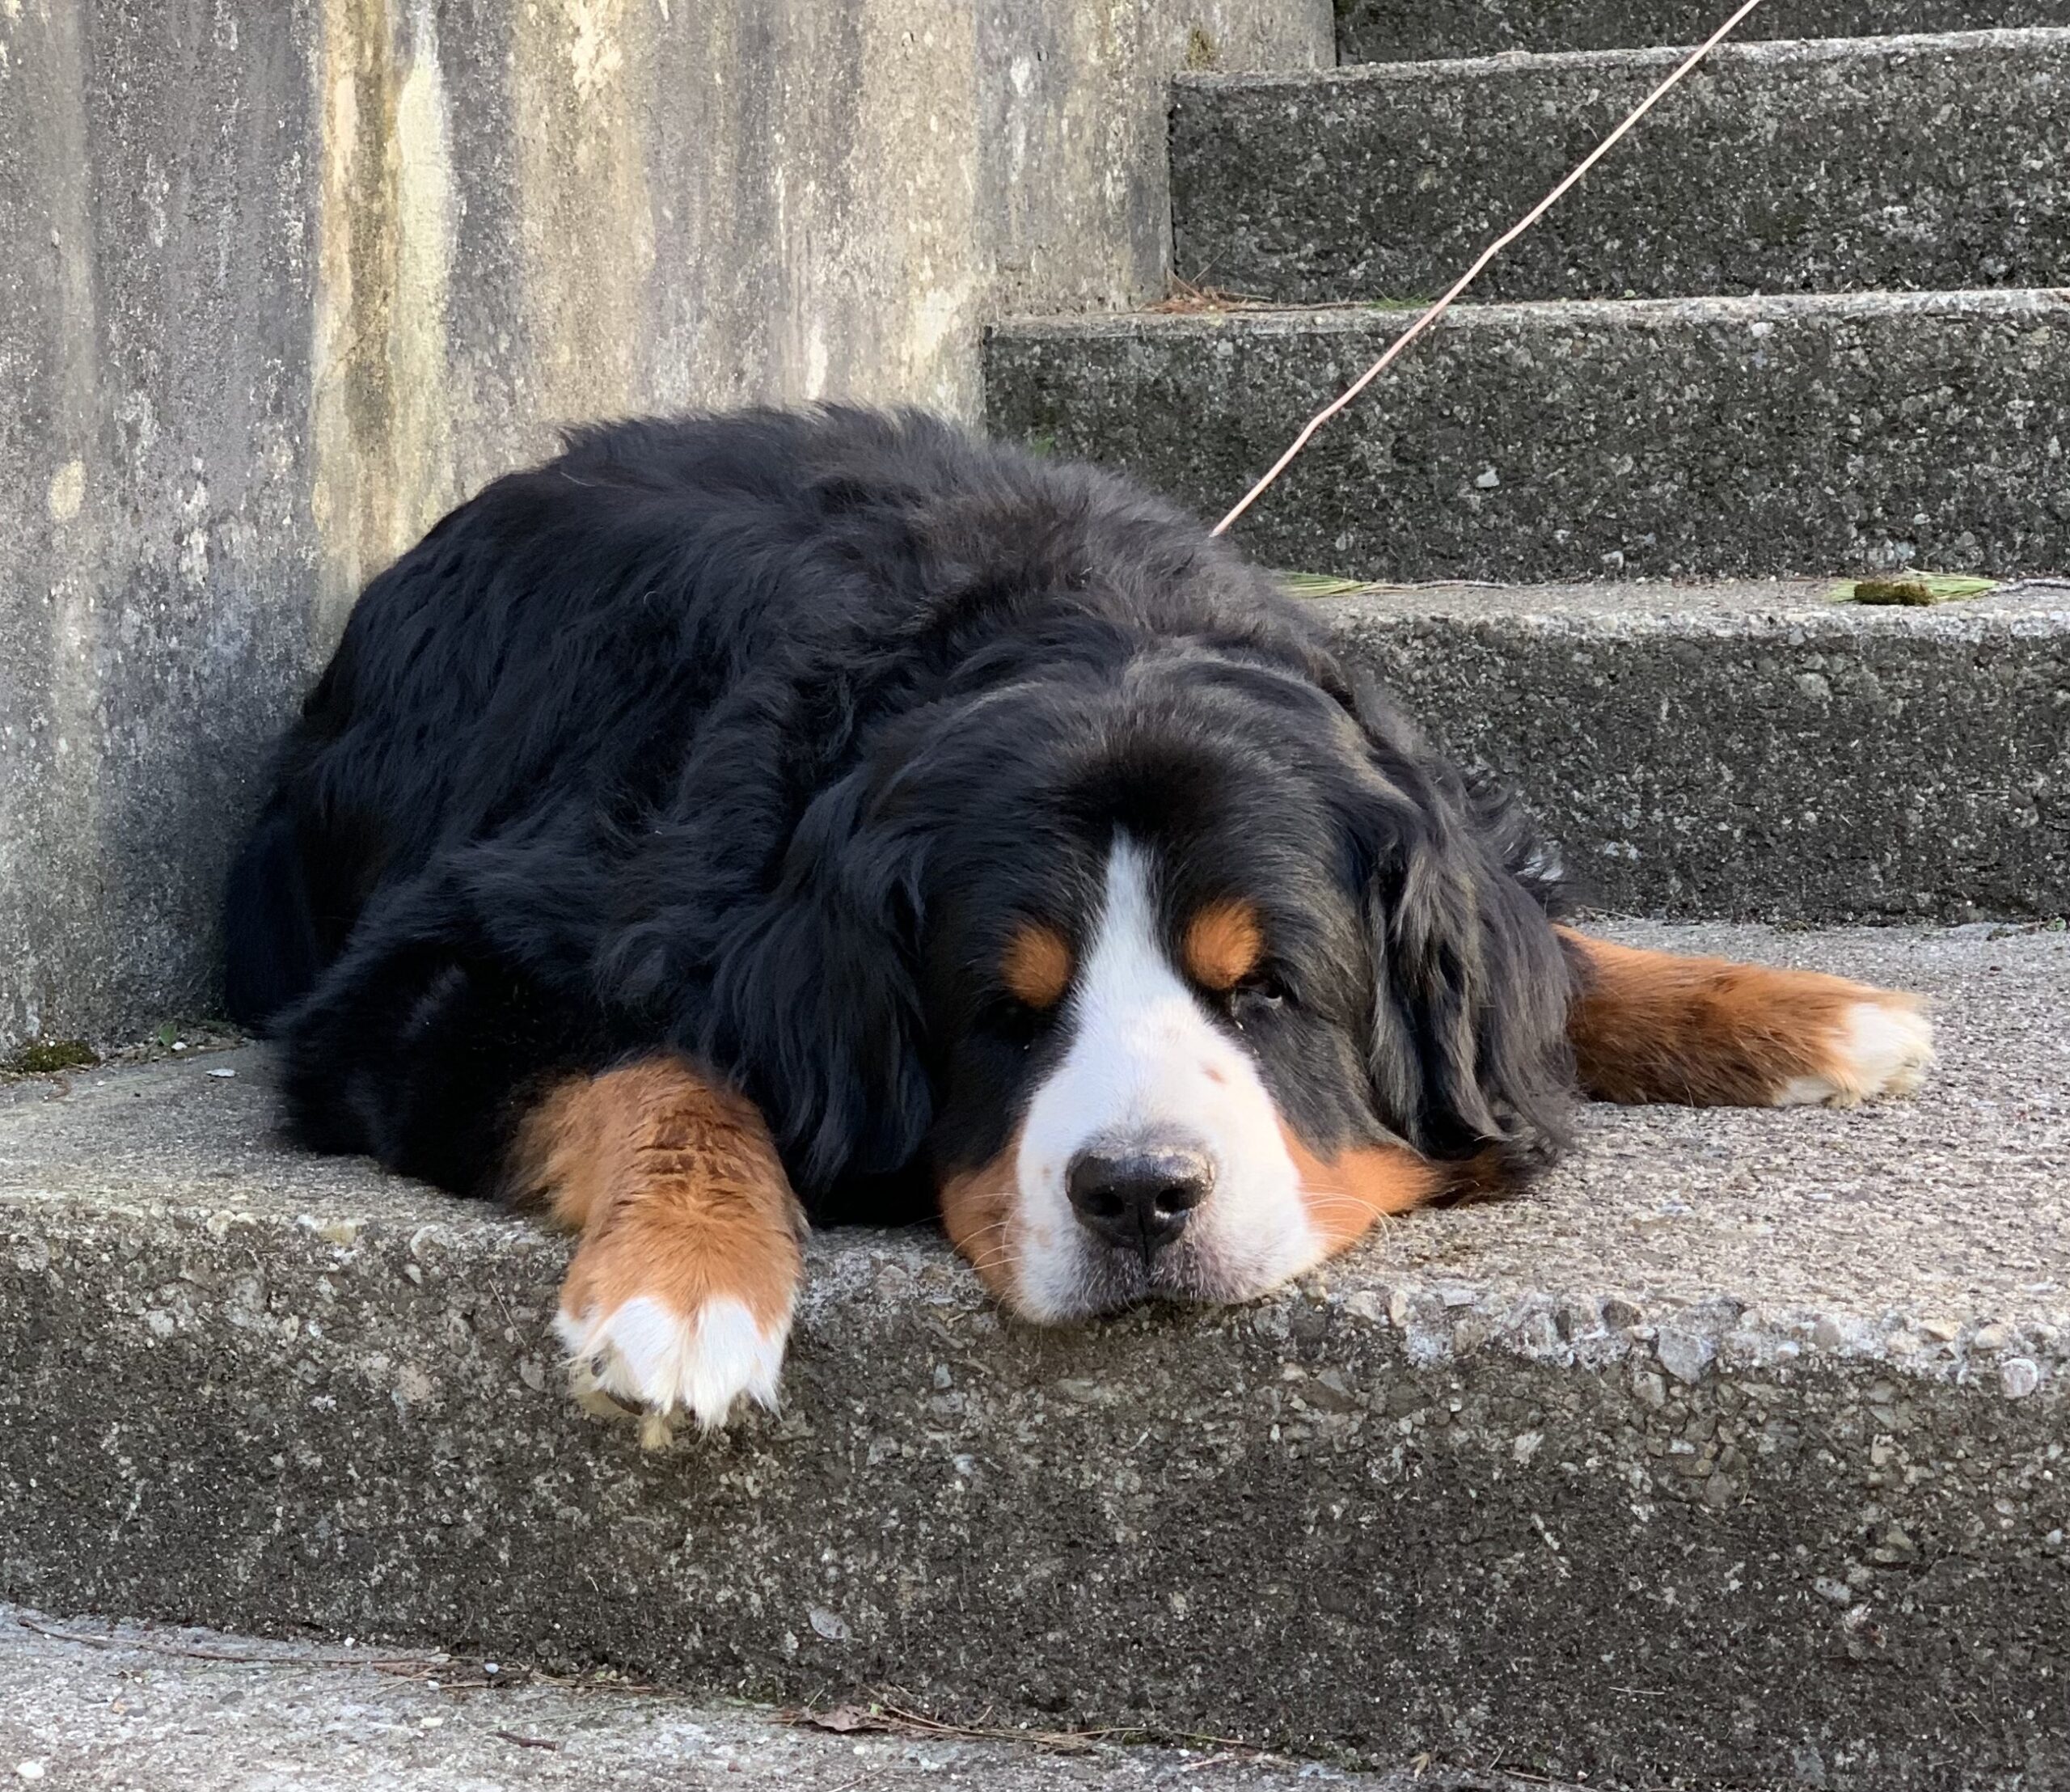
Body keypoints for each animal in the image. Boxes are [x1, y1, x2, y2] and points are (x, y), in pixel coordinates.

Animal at [230, 408, 1937, 1439]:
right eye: (1005, 1009)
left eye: (1268, 995)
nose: (1139, 1196)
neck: (1078, 628)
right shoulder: (447, 957)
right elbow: (667, 1069)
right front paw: (688, 1289)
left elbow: (1544, 957)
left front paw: (1807, 1014)